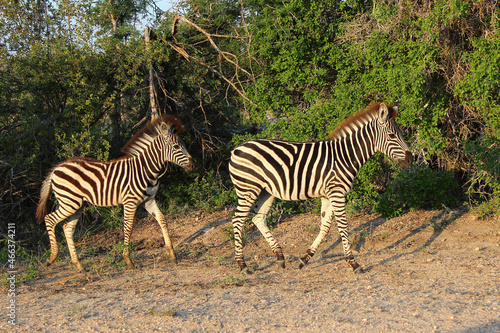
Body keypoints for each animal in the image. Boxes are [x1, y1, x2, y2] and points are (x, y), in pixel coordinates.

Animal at [35, 114, 194, 270]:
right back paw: (52, 257)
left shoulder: (149, 200)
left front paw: (172, 254)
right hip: (69, 202)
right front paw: (128, 260)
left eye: (184, 145)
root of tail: (56, 168)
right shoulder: (130, 202)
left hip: (78, 205)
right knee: (49, 219)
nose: (193, 165)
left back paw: (79, 266)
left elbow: (162, 220)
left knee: (67, 228)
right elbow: (128, 227)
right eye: (176, 146)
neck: (145, 170)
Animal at [229, 101, 412, 272]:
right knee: (238, 220)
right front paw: (353, 263)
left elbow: (325, 227)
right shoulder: (337, 193)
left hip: (266, 191)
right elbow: (343, 226)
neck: (345, 156)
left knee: (258, 218)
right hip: (248, 189)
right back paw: (242, 265)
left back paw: (280, 257)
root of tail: (236, 149)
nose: (410, 159)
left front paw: (305, 258)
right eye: (392, 135)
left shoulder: (328, 195)